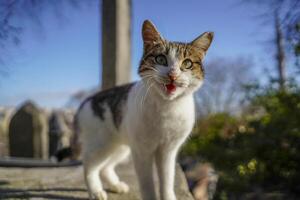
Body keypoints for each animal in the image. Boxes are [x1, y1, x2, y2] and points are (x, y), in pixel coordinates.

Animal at [73, 19, 212, 200]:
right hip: (101, 143)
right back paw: (96, 191)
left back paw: (117, 186)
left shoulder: (168, 150)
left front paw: (168, 196)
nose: (173, 74)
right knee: (89, 164)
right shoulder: (141, 150)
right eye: (161, 59)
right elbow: (146, 182)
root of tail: (87, 100)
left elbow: (167, 179)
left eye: (187, 63)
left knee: (105, 167)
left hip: (120, 147)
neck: (167, 108)